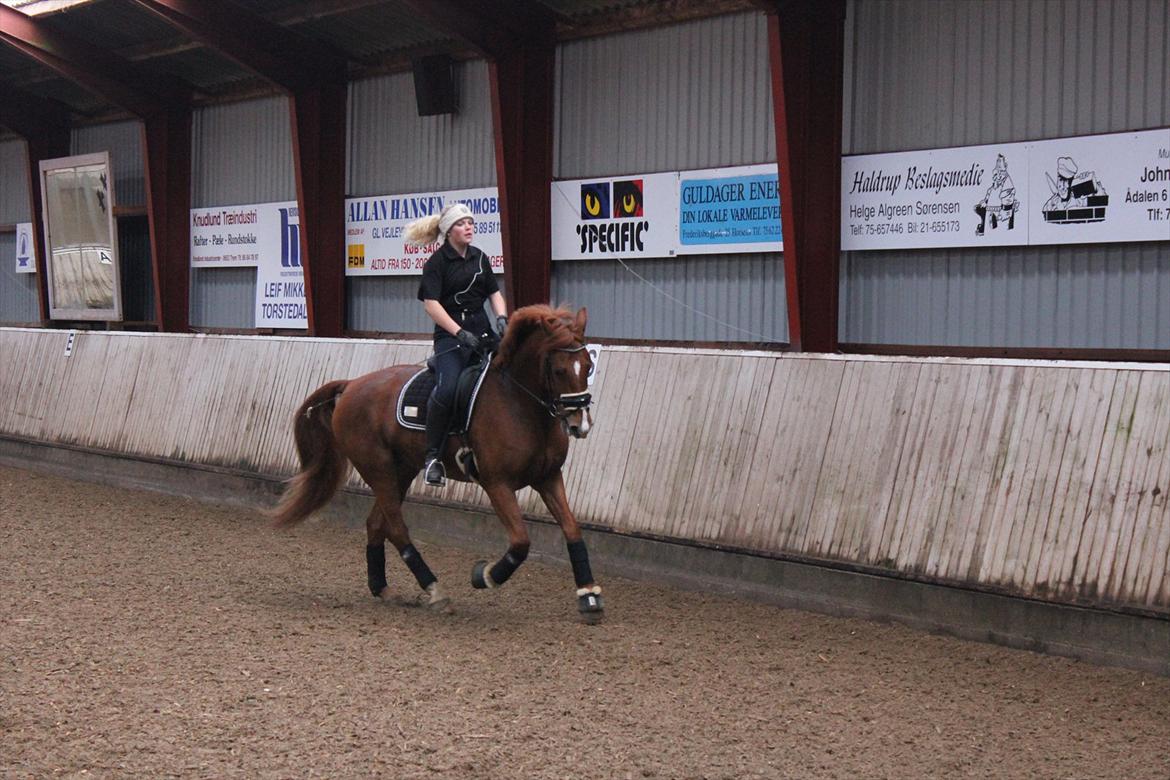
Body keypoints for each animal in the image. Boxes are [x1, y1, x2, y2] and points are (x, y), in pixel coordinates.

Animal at [269, 304, 603, 622]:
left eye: (588, 366)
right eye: (558, 370)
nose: (581, 425)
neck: (519, 403)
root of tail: (352, 385)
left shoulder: (549, 477)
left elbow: (572, 529)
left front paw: (589, 596)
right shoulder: (497, 483)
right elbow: (521, 542)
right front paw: (484, 576)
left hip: (401, 471)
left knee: (377, 524)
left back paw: (381, 587)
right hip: (378, 469)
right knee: (396, 528)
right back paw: (435, 590)